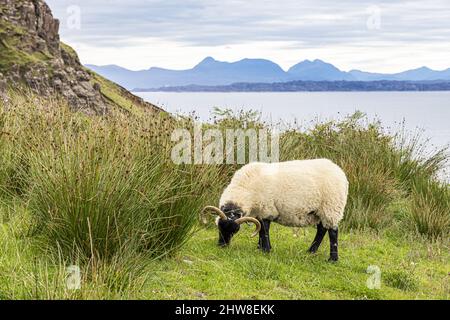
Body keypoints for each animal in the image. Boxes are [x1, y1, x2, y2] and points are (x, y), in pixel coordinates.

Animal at [202, 159, 350, 262]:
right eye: (219, 227)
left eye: (234, 231)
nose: (222, 245)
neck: (245, 189)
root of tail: (339, 171)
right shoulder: (259, 212)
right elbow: (261, 229)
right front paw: (260, 247)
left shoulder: (266, 209)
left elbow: (264, 230)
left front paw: (266, 250)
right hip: (319, 212)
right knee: (321, 229)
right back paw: (311, 251)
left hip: (331, 207)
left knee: (333, 231)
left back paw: (333, 259)